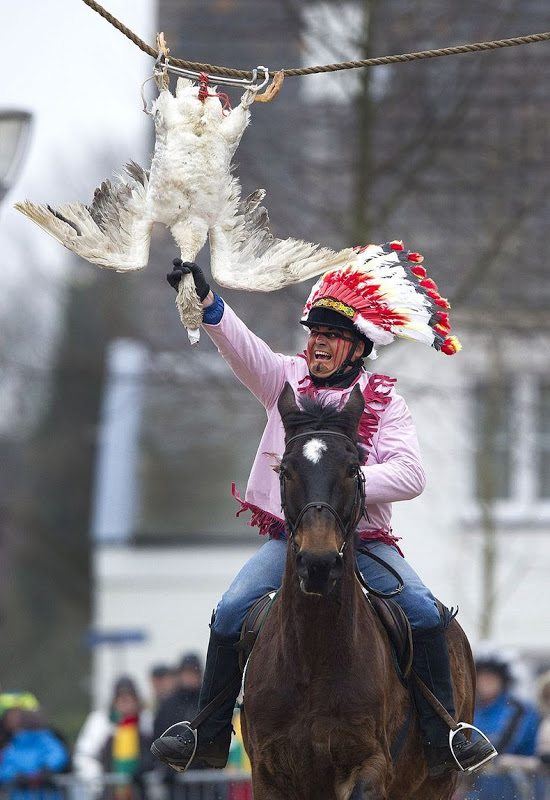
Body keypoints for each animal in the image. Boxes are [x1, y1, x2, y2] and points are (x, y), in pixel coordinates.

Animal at [243, 384, 478, 796]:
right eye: (285, 470)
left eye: (354, 469)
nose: (318, 564)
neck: (313, 657)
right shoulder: (269, 774)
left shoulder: (369, 764)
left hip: (436, 783)